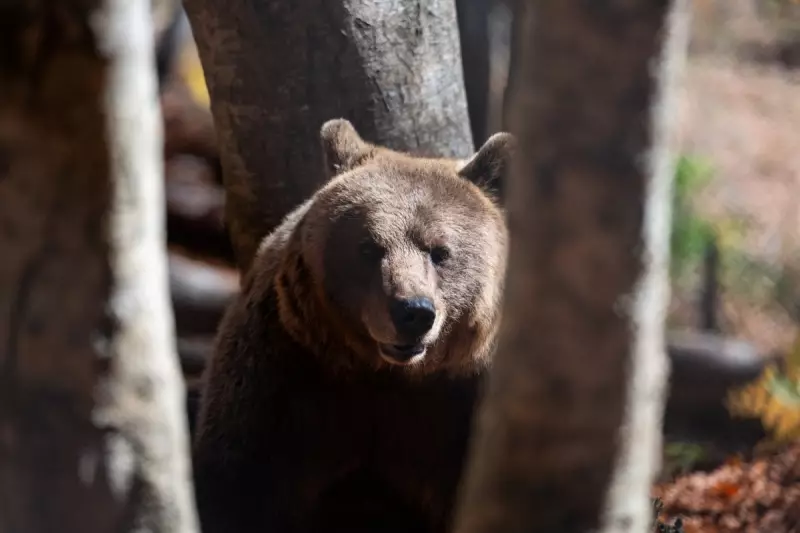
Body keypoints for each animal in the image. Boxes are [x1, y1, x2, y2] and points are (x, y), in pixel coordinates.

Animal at [192, 118, 515, 533]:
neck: (388, 374)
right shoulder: (283, 376)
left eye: (440, 251)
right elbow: (240, 485)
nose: (413, 312)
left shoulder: (462, 402)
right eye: (368, 247)